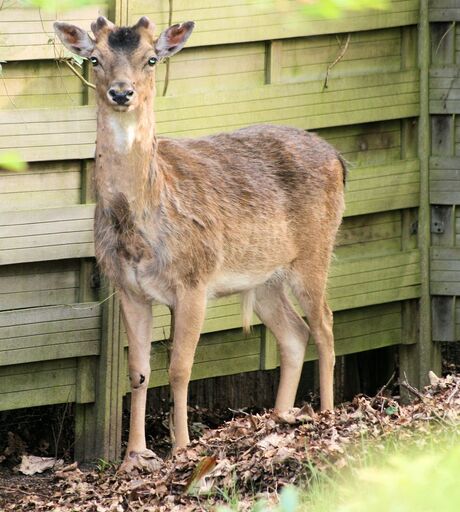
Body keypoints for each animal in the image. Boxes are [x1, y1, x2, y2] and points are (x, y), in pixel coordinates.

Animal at [54, 15, 344, 472]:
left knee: (326, 325)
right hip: (264, 277)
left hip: (315, 251)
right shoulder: (128, 287)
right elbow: (138, 370)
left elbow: (179, 367)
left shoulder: (194, 279)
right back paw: (280, 418)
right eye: (95, 59)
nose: (122, 92)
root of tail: (339, 158)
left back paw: (328, 415)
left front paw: (181, 449)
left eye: (151, 59)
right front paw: (133, 457)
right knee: (294, 333)